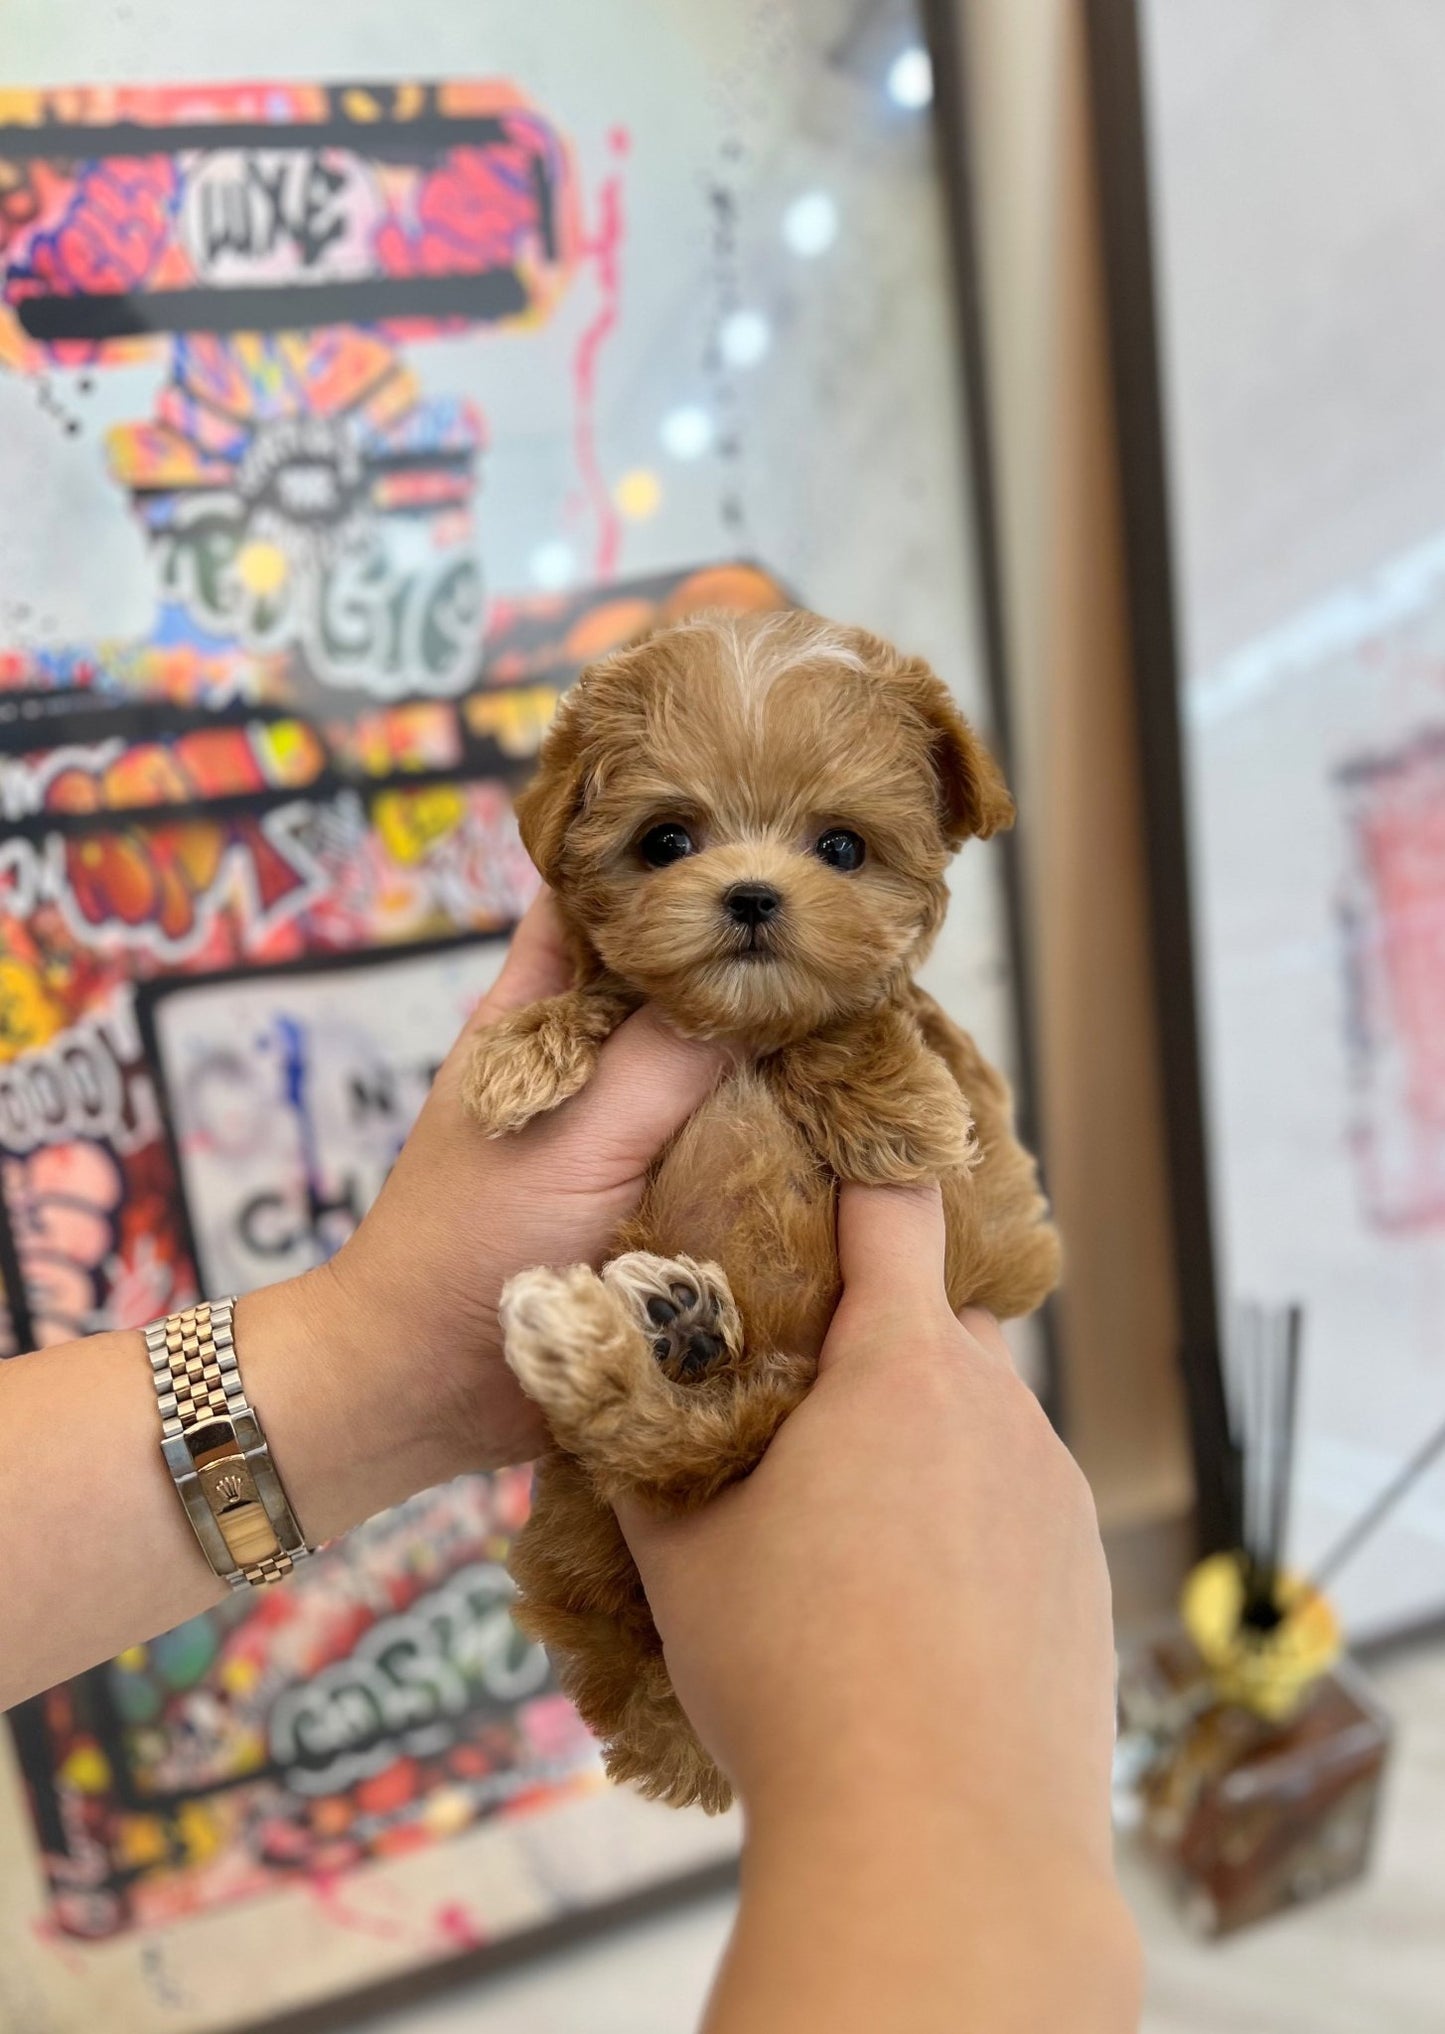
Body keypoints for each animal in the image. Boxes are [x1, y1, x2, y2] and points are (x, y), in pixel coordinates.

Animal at [464, 606, 1066, 1814]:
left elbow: (858, 1026)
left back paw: (664, 1323)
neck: (737, 1030)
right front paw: (520, 1051)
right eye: (665, 842)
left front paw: (893, 1104)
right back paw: (661, 1319)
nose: (749, 897)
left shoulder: (990, 1179)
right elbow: (606, 994)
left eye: (840, 848)